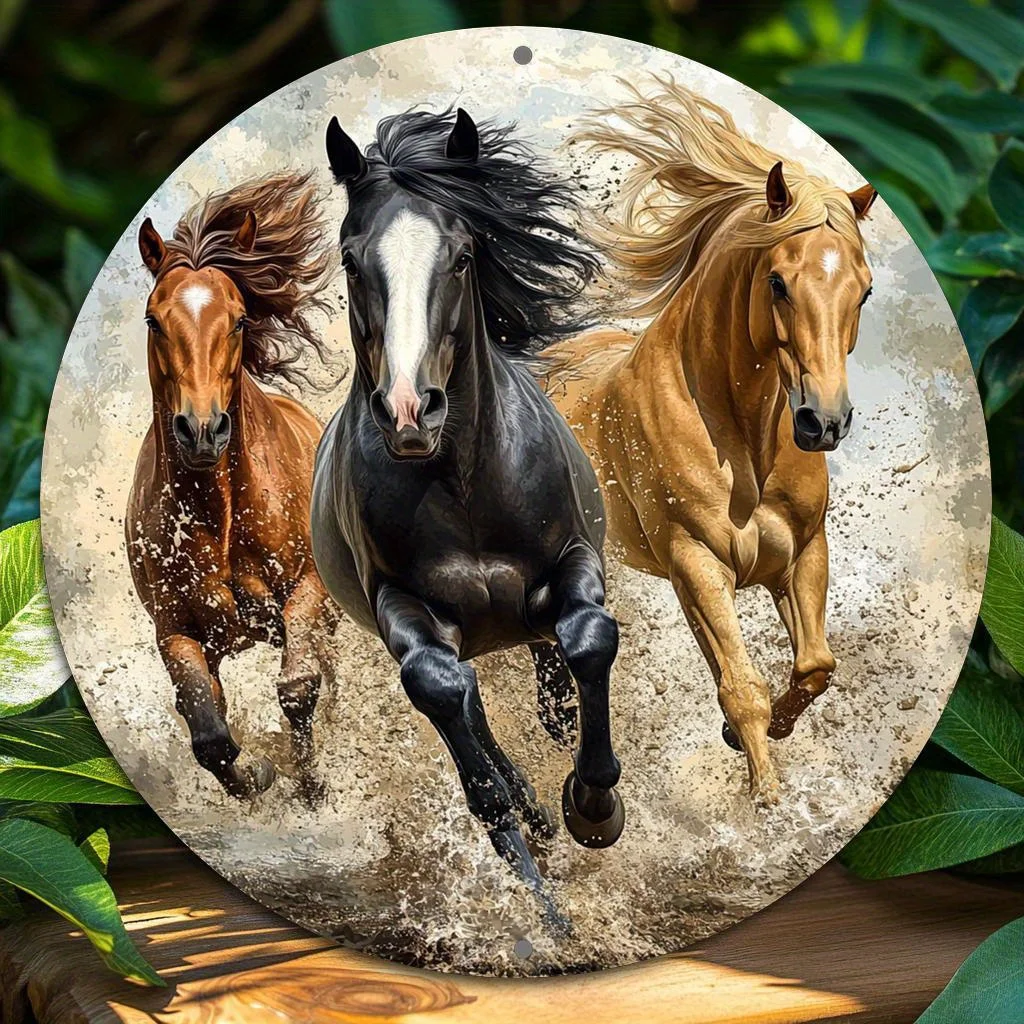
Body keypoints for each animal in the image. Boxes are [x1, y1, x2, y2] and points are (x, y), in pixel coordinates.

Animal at [127, 172, 339, 805]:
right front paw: (259, 774)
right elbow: (209, 733)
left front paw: (312, 784)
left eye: (240, 318)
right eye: (153, 320)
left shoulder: (309, 587)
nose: (201, 430)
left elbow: (298, 687)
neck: (220, 517)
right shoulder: (175, 633)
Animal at [311, 107, 625, 926]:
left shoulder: (571, 561)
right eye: (352, 261)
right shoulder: (402, 607)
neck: (460, 486)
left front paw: (593, 806)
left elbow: (589, 638)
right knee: (467, 700)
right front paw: (534, 858)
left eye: (459, 255)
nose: (408, 411)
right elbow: (442, 698)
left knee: (549, 685)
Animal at [543, 79, 877, 802]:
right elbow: (742, 686)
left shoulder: (802, 552)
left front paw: (768, 735)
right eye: (778, 282)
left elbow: (814, 666)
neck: (743, 447)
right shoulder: (694, 561)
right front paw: (766, 799)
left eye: (863, 292)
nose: (824, 422)